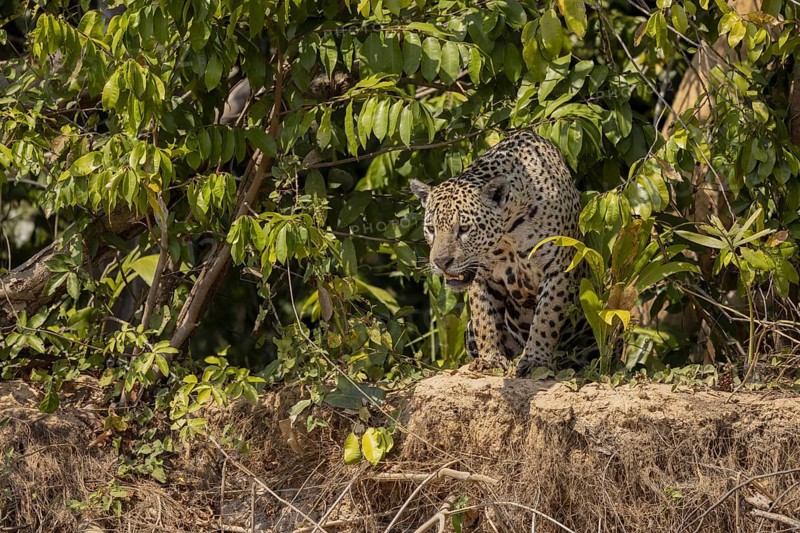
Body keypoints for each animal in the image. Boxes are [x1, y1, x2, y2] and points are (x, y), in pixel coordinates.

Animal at [410, 131, 596, 377]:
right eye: (432, 229)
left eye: (464, 229)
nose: (441, 262)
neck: (509, 234)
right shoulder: (482, 276)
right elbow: (484, 318)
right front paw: (490, 360)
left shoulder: (559, 270)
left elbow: (546, 317)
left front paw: (535, 361)